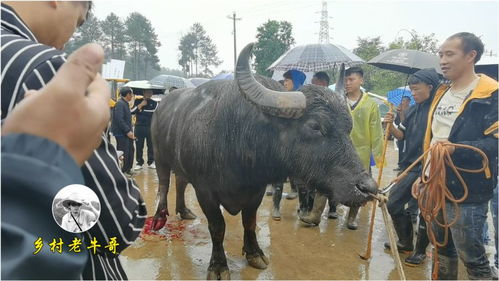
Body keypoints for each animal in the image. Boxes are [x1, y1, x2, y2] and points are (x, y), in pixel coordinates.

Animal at [150, 42, 376, 276]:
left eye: (349, 126)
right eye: (315, 126)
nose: (367, 187)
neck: (237, 138)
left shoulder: (256, 190)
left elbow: (249, 221)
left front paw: (254, 253)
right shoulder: (205, 191)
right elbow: (218, 226)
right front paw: (218, 265)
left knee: (180, 182)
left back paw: (184, 211)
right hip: (159, 157)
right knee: (164, 185)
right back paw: (159, 218)